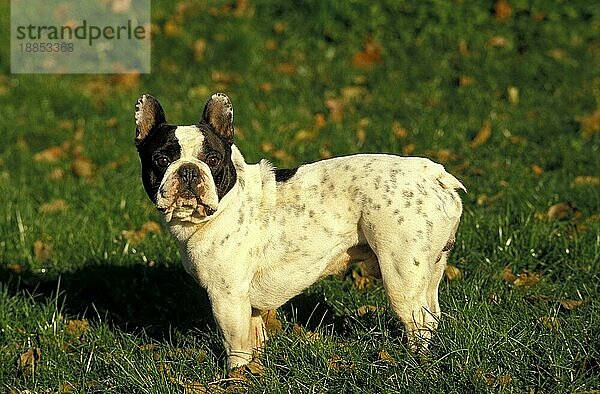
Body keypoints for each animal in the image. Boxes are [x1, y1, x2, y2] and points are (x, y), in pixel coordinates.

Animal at [135, 92, 464, 370]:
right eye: (161, 160)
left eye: (213, 159)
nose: (188, 170)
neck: (225, 204)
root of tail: (436, 176)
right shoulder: (249, 305)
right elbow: (255, 338)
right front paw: (257, 370)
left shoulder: (227, 297)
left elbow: (236, 346)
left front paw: (236, 376)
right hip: (431, 268)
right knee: (431, 314)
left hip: (400, 275)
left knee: (417, 321)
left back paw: (415, 361)